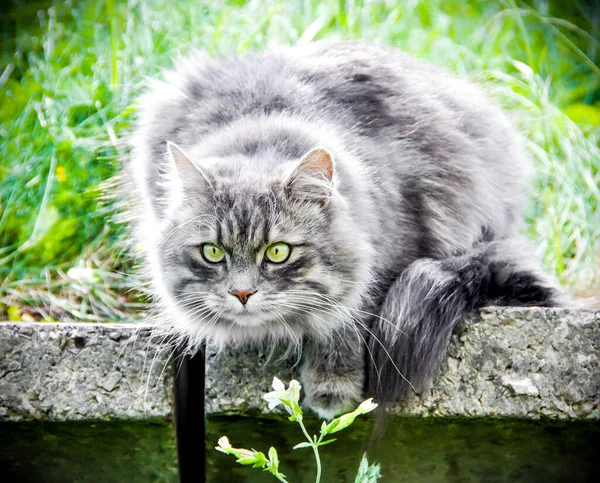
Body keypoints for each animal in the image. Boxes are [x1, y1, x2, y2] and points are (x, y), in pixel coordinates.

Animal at [124, 40, 564, 420]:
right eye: (212, 252)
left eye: (278, 252)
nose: (242, 293)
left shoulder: (395, 247)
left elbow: (347, 318)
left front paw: (333, 385)